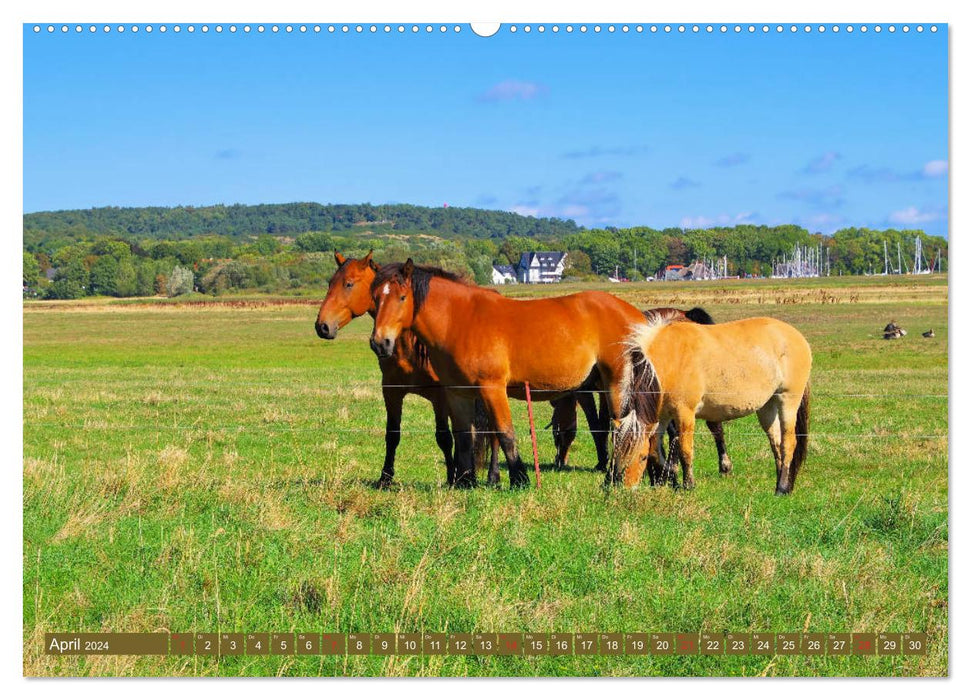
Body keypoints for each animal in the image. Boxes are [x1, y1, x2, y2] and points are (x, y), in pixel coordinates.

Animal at [616, 314, 812, 494]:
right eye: (619, 456)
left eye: (641, 458)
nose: (627, 490)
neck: (669, 359)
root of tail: (796, 335)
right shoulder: (662, 416)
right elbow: (656, 451)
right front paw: (670, 477)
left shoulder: (685, 413)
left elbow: (685, 450)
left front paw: (689, 485)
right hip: (767, 407)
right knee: (776, 443)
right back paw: (779, 483)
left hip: (788, 400)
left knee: (788, 443)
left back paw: (782, 488)